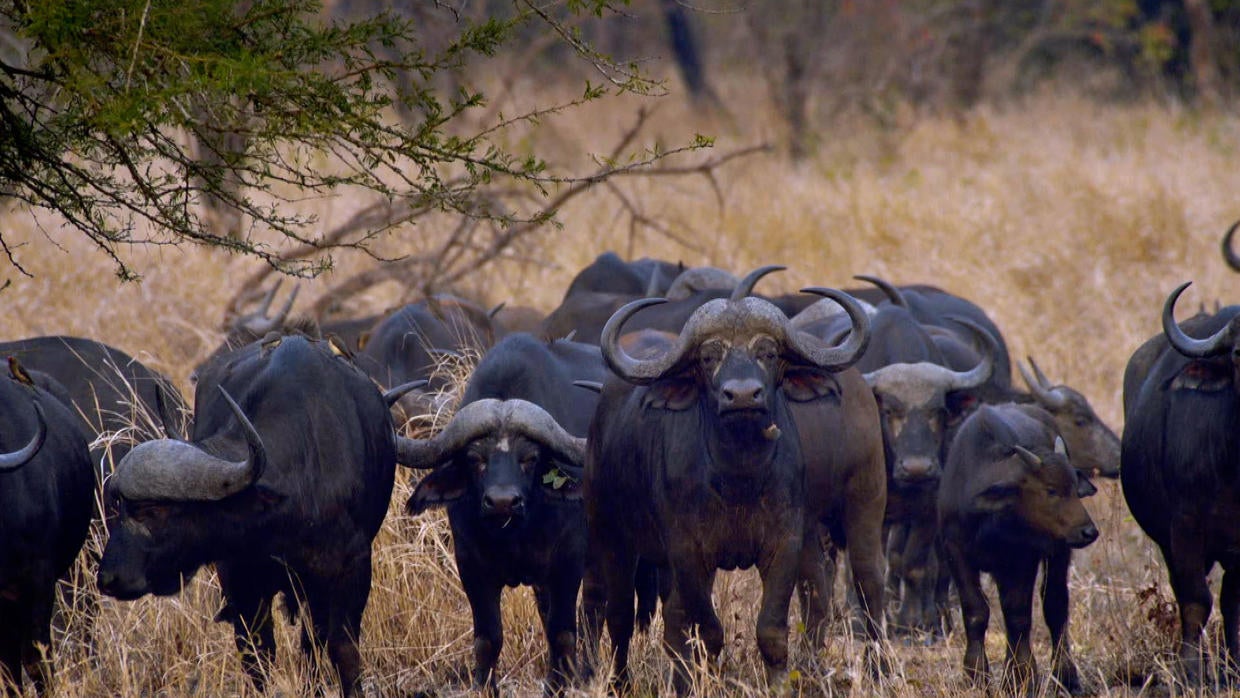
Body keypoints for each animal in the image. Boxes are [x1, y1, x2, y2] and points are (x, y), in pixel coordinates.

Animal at [97, 334, 396, 694]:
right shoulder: (240, 583)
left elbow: (342, 650)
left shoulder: (350, 572)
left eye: (152, 509)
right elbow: (257, 655)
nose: (108, 579)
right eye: (118, 506)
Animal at [942, 404, 1101, 694]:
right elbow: (975, 611)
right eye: (1050, 490)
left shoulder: (1021, 559)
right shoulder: (954, 551)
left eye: (1075, 488)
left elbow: (1017, 616)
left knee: (1055, 604)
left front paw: (1021, 677)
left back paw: (1066, 675)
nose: (1089, 531)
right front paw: (975, 675)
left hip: (1059, 551)